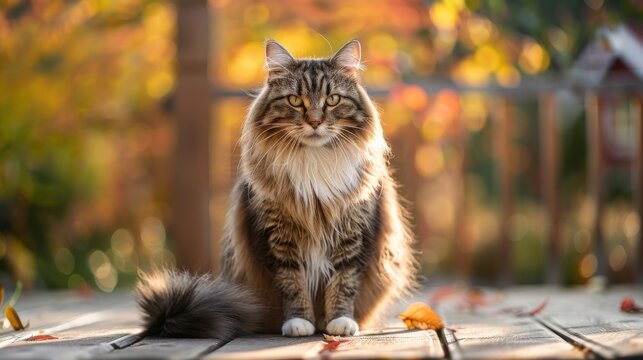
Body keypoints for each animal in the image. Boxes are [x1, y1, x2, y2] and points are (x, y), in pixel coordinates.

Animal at [136, 39, 418, 340]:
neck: (314, 161)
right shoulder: (276, 237)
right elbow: (292, 283)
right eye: (295, 100)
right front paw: (299, 323)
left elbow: (344, 281)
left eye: (332, 100)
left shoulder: (353, 233)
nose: (315, 122)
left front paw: (339, 321)